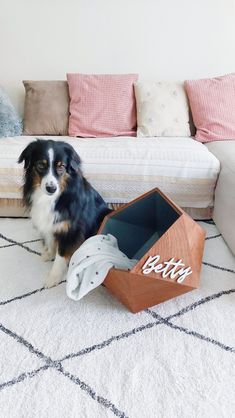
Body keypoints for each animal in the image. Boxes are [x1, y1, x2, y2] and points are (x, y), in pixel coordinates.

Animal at [17, 139, 110, 290]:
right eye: (41, 165)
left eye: (61, 167)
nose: (51, 188)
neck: (52, 198)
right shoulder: (50, 224)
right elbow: (50, 240)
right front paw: (49, 254)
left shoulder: (70, 230)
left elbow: (61, 255)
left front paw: (53, 277)